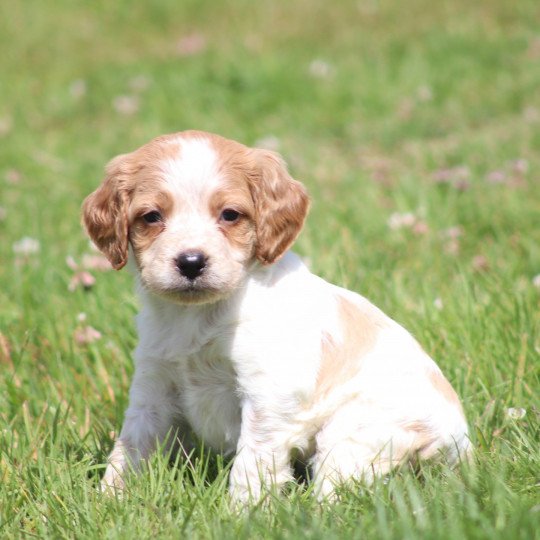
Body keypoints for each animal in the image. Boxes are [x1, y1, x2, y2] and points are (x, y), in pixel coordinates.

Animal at [82, 131, 470, 502]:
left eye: (230, 214)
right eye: (151, 216)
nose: (191, 262)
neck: (197, 316)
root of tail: (461, 447)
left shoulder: (266, 397)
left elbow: (251, 464)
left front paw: (243, 513)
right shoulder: (154, 387)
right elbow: (131, 447)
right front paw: (108, 502)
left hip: (355, 433)